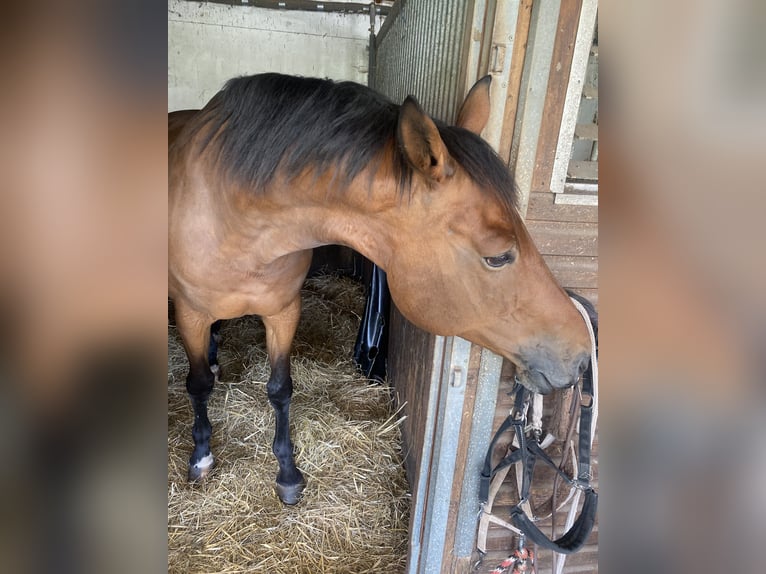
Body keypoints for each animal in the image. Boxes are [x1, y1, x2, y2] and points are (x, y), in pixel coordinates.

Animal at [168, 73, 591, 504]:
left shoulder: (283, 311)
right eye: (498, 256)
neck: (236, 218)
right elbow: (198, 385)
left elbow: (280, 389)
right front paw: (201, 457)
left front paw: (287, 473)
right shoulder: (190, 313)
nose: (581, 355)